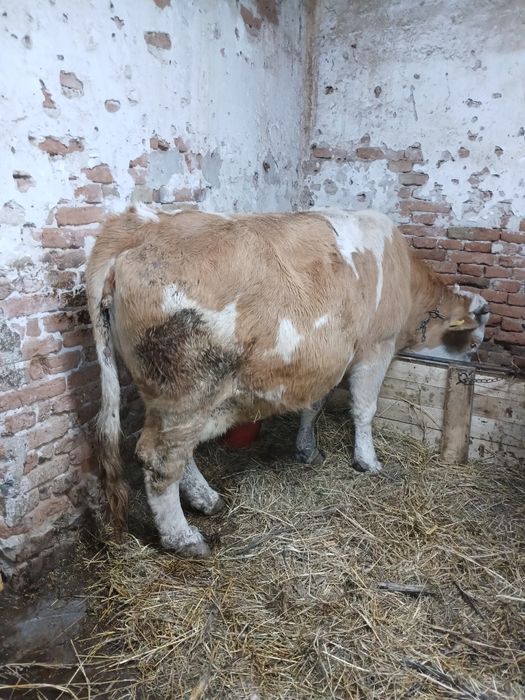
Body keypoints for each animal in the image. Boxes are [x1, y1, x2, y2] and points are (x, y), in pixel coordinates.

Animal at [86, 205, 489, 557]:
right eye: (476, 340)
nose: (474, 365)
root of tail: (138, 225)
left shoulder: (324, 361)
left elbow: (315, 404)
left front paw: (306, 448)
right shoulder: (375, 347)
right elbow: (364, 409)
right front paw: (367, 460)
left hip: (172, 398)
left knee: (176, 454)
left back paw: (207, 499)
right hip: (186, 391)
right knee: (159, 459)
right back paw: (183, 538)